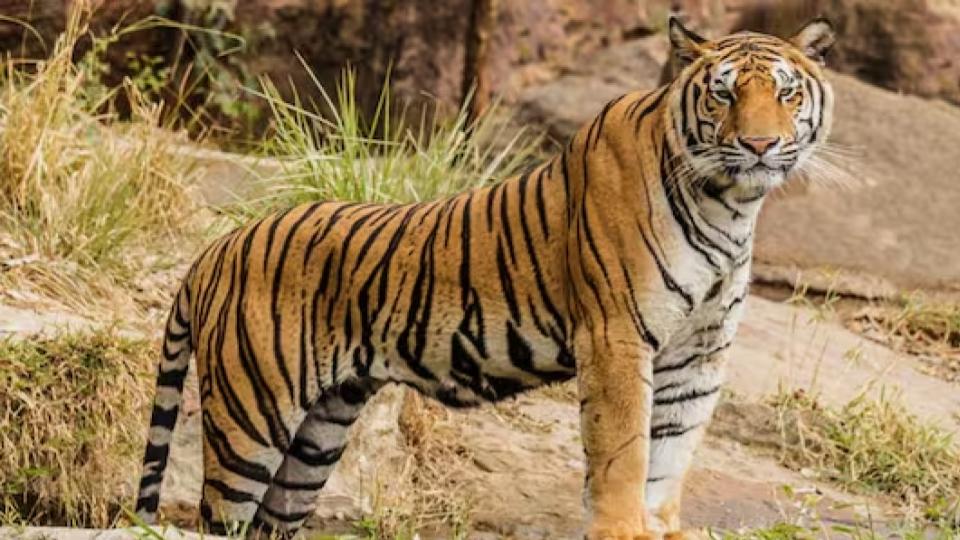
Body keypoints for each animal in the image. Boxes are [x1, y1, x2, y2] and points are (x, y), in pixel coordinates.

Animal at [135, 16, 836, 540]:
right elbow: (625, 454)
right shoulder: (616, 337)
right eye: (723, 93)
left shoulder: (699, 356)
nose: (760, 146)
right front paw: (622, 528)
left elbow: (669, 459)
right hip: (251, 418)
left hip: (317, 435)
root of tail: (216, 248)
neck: (730, 205)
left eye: (786, 93)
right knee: (221, 516)